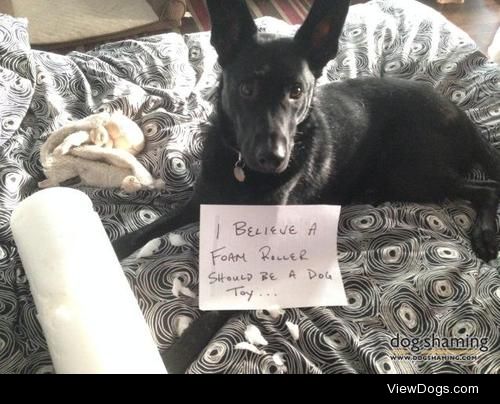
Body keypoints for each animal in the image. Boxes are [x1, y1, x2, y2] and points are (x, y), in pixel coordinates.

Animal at [112, 0, 500, 372]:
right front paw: (112, 246)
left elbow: (213, 312)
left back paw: (485, 233)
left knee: (487, 187)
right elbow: (147, 229)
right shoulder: (200, 202)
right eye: (246, 88)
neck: (243, 172)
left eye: (296, 91)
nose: (273, 158)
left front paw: (173, 356)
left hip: (412, 173)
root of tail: (460, 113)